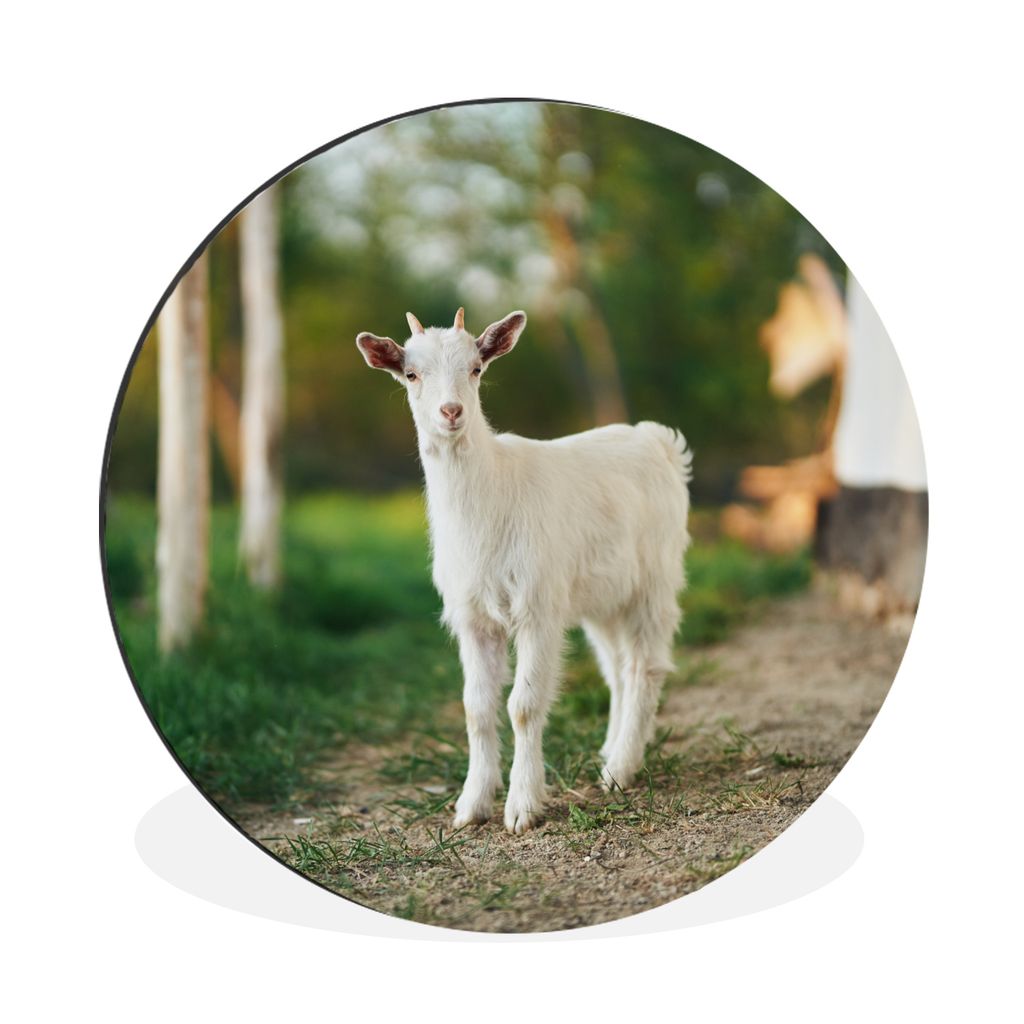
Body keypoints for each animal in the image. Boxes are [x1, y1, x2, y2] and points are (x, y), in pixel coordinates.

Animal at [356, 307, 691, 833]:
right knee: (616, 667)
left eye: (476, 368)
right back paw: (611, 751)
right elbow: (476, 707)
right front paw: (471, 805)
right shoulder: (473, 616)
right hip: (601, 596)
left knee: (645, 665)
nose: (451, 412)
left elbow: (524, 705)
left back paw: (620, 771)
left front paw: (522, 806)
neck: (489, 496)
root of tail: (657, 440)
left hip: (654, 578)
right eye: (411, 374)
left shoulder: (538, 606)